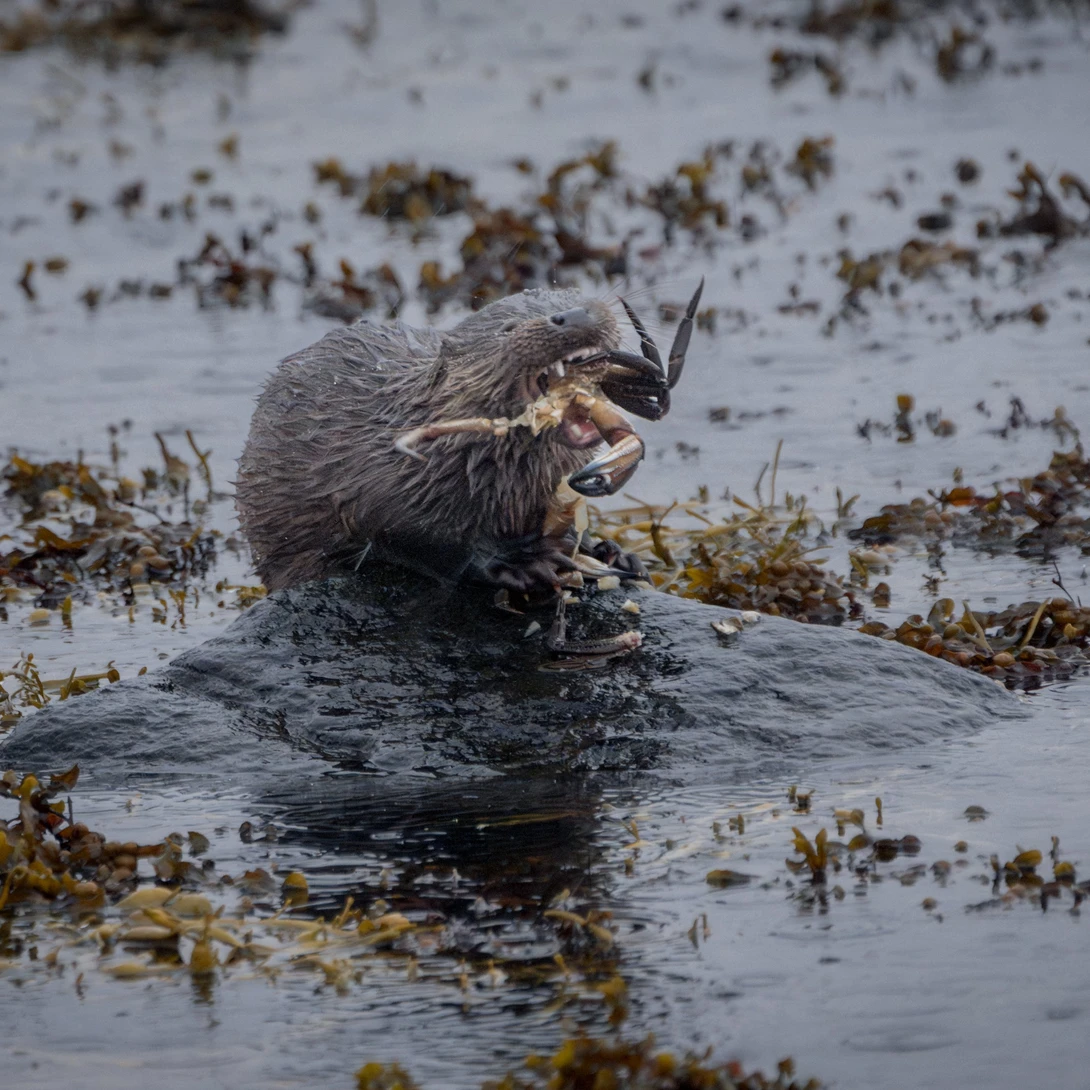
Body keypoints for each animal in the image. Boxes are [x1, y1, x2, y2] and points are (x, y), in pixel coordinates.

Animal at [236, 285, 700, 594]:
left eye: (575, 297)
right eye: (509, 328)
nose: (575, 315)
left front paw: (609, 550)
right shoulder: (376, 479)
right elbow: (412, 534)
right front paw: (520, 563)